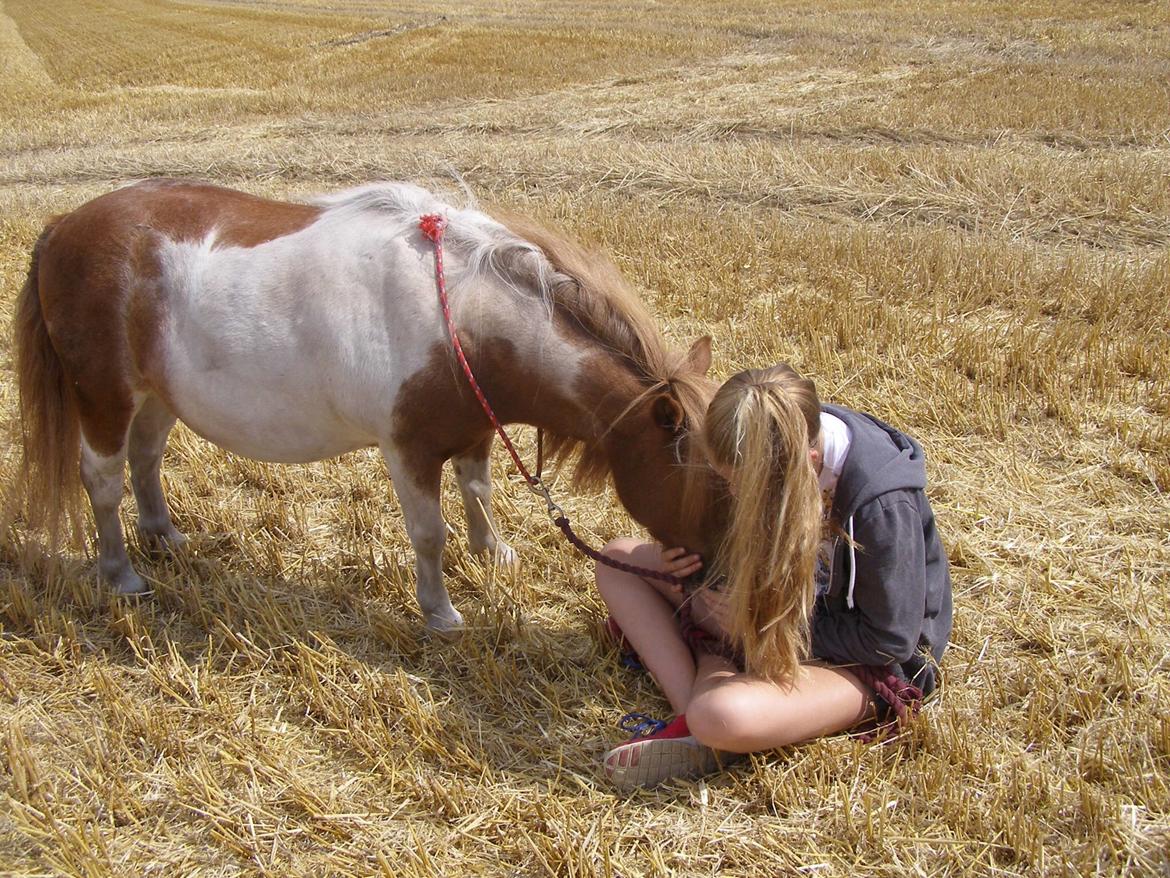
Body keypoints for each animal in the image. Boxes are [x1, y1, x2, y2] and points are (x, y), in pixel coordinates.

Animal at [13, 180, 716, 632]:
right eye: (710, 485)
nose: (713, 584)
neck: (462, 317)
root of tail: (62, 227)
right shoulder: (408, 448)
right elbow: (429, 533)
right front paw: (440, 613)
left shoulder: (474, 427)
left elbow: (478, 490)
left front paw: (493, 553)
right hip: (104, 395)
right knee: (102, 478)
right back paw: (121, 573)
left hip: (160, 394)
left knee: (146, 457)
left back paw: (164, 536)